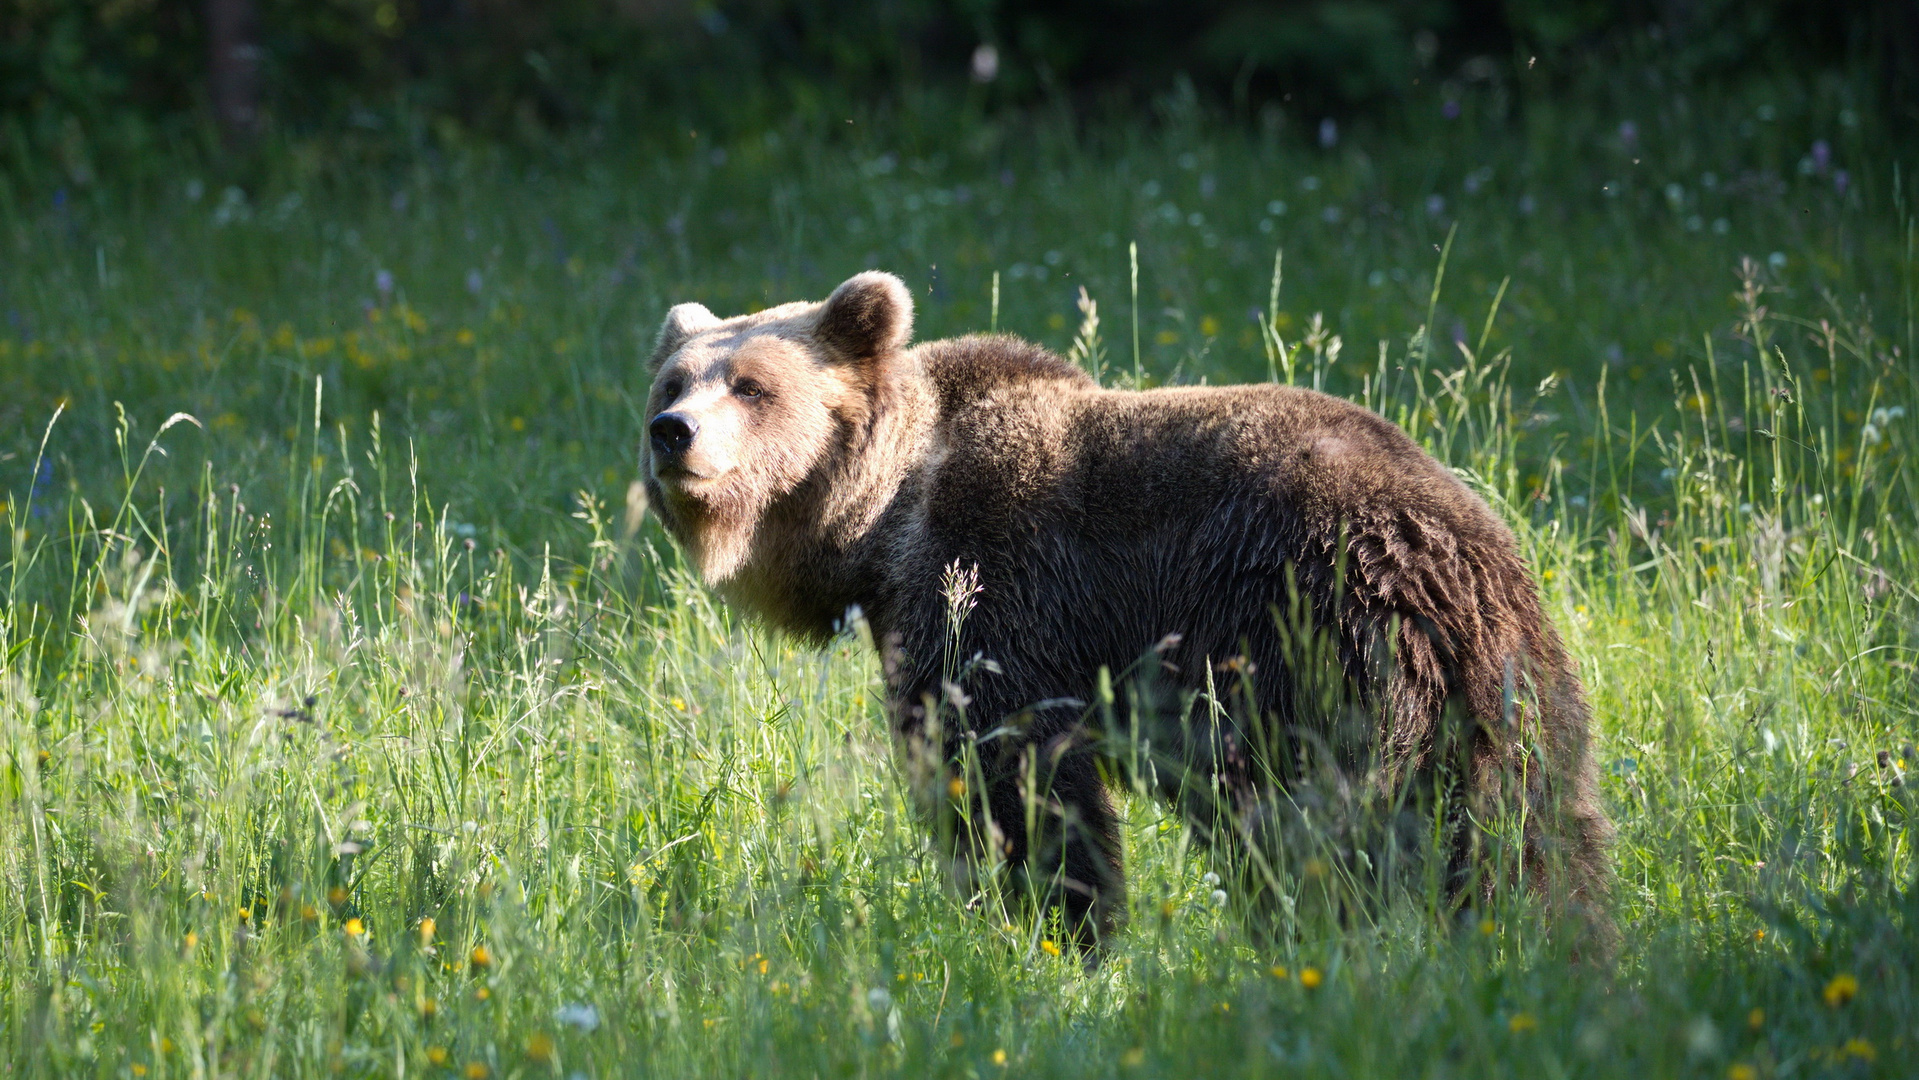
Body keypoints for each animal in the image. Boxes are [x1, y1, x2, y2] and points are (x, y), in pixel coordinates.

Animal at [637, 270, 1611, 955]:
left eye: (751, 384)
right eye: (673, 381)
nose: (673, 433)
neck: (885, 518)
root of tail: (1440, 552)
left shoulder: (994, 589)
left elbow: (1009, 776)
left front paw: (1050, 926)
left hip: (1309, 645)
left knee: (1309, 828)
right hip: (1513, 685)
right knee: (1534, 838)